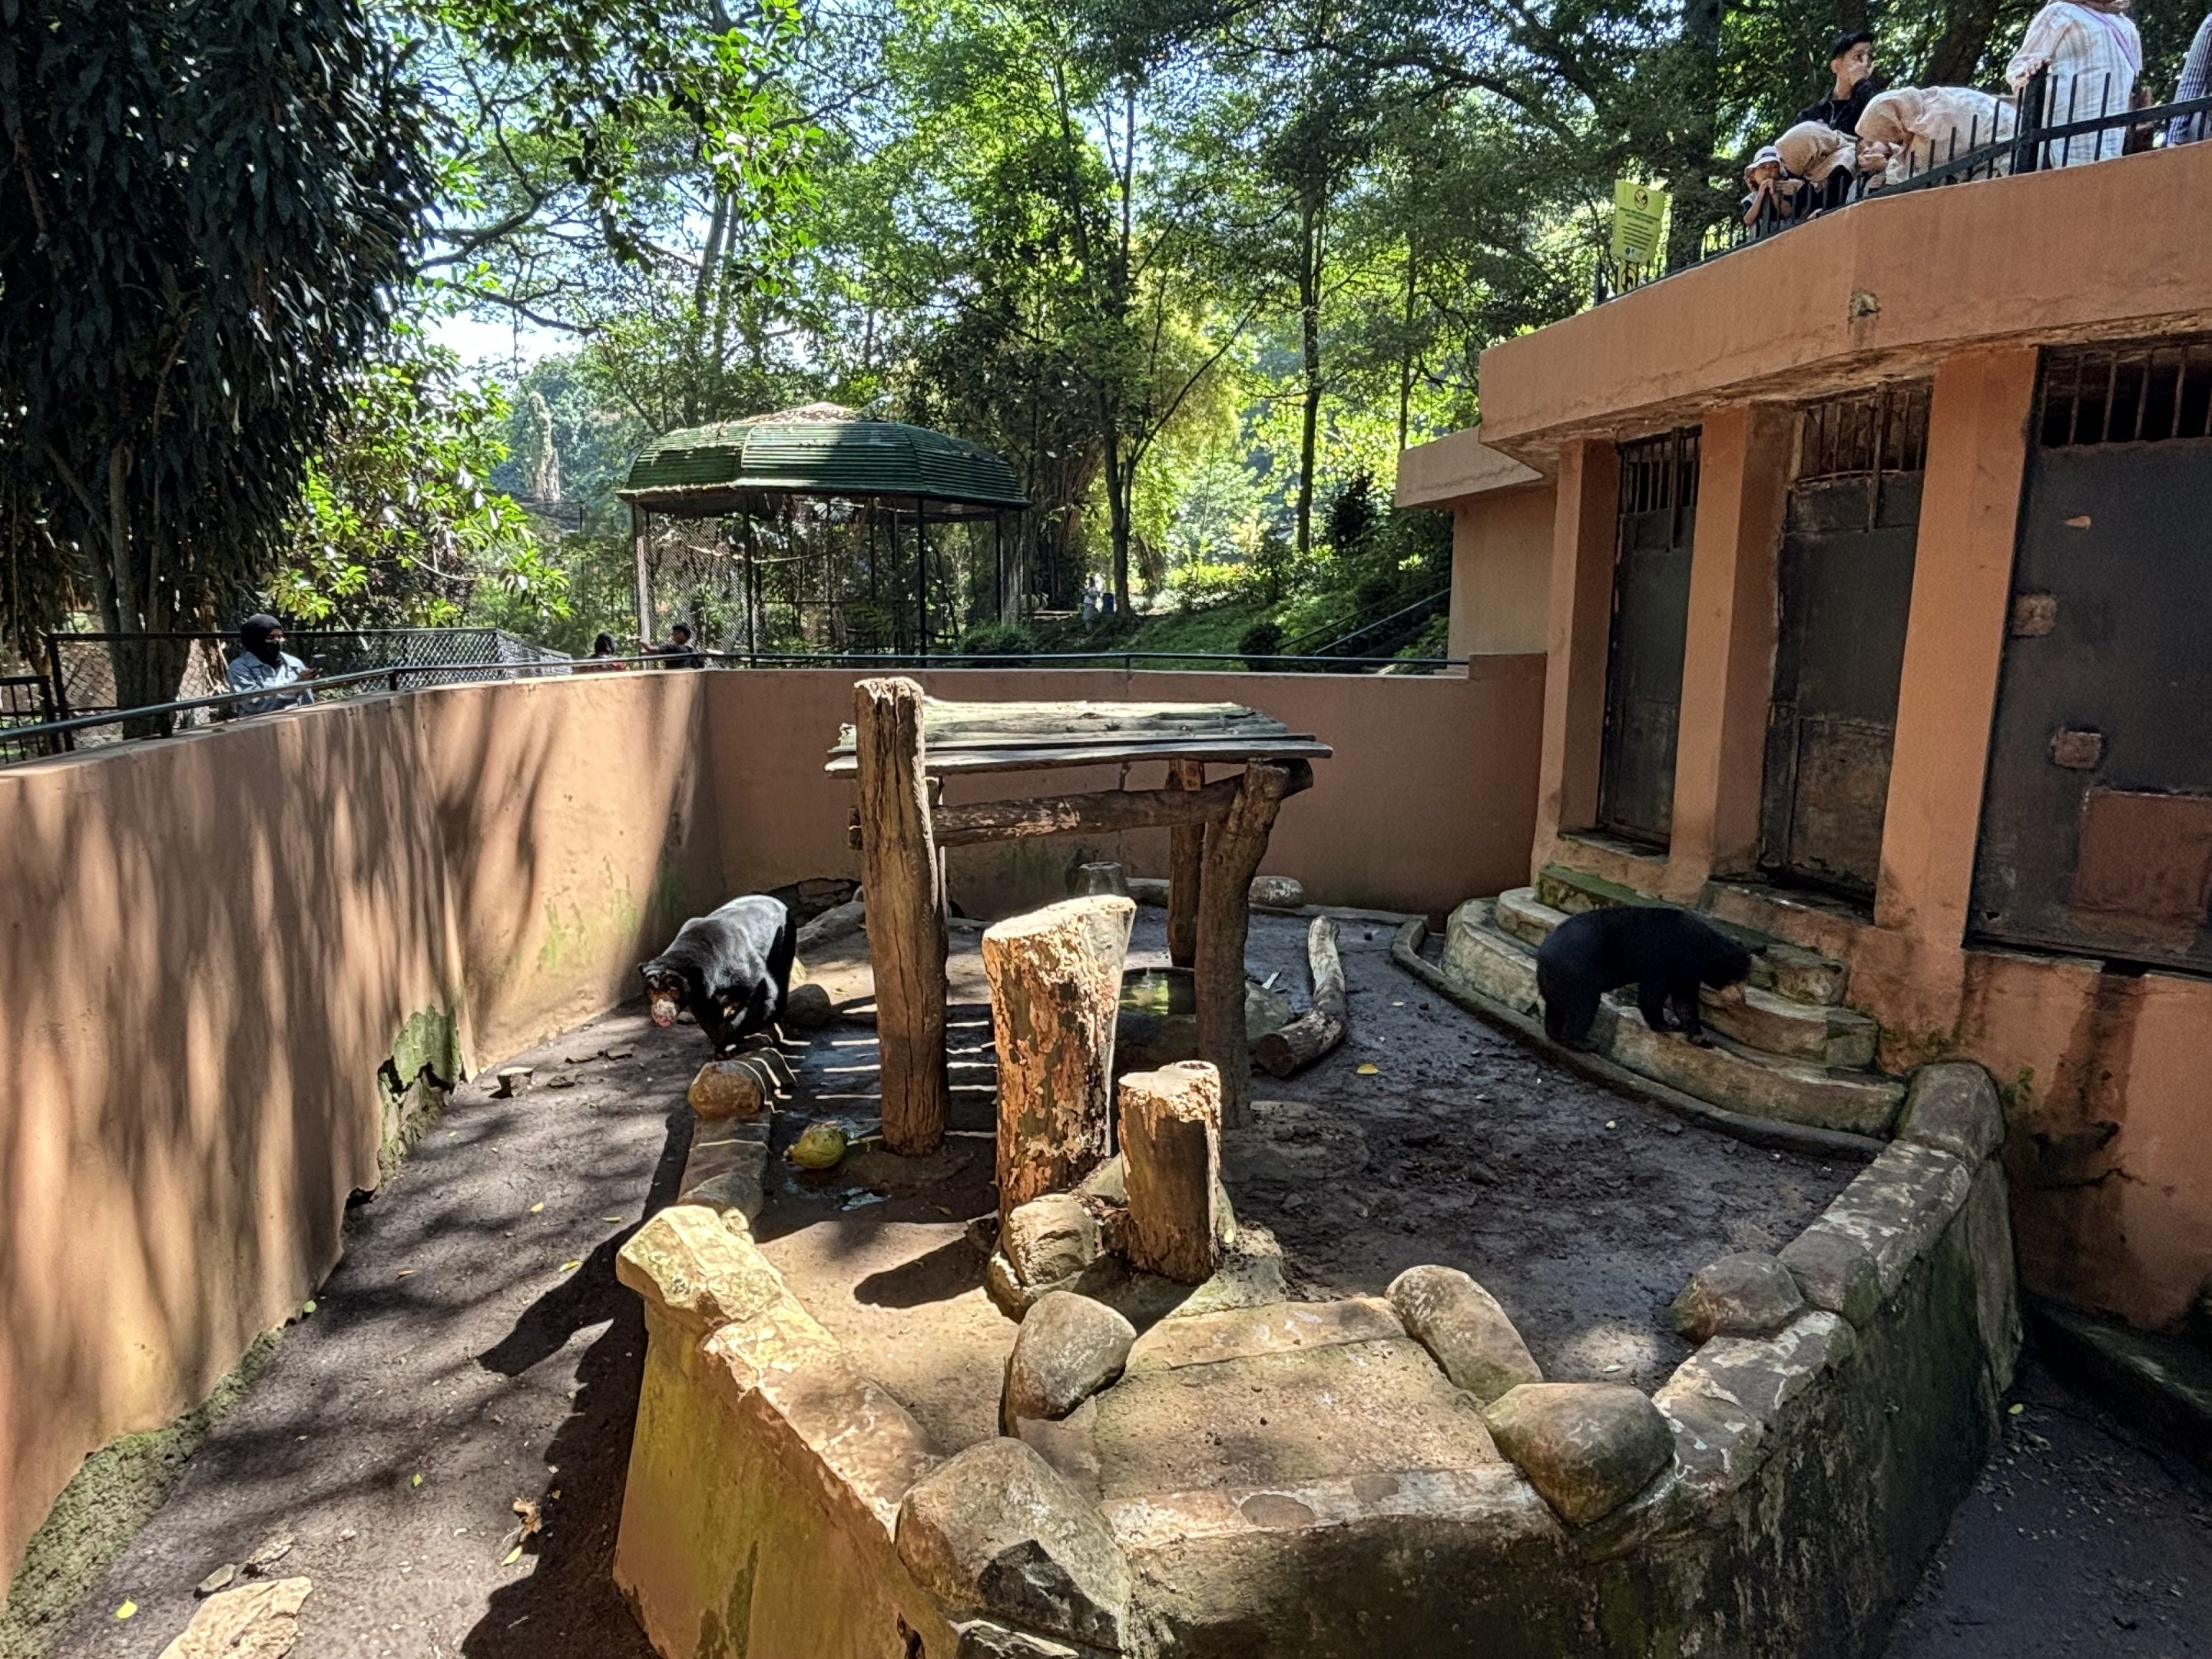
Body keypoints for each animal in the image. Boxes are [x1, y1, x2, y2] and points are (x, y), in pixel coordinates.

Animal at [640, 894, 795, 1055]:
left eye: (673, 991)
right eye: (651, 993)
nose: (660, 1015)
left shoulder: (741, 966)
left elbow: (764, 993)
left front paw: (731, 1037)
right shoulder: (699, 992)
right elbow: (707, 1013)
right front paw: (720, 1047)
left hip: (782, 941)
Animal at [1534, 904, 1754, 1051]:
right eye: (1738, 980)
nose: (1742, 1000)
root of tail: (1543, 954)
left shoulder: (1687, 972)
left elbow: (1684, 1001)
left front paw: (1701, 1038)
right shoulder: (1664, 958)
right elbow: (1653, 994)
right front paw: (1667, 1024)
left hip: (1556, 979)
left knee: (1557, 1005)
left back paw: (1554, 1033)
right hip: (1578, 972)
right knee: (1584, 1006)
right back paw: (1583, 1042)